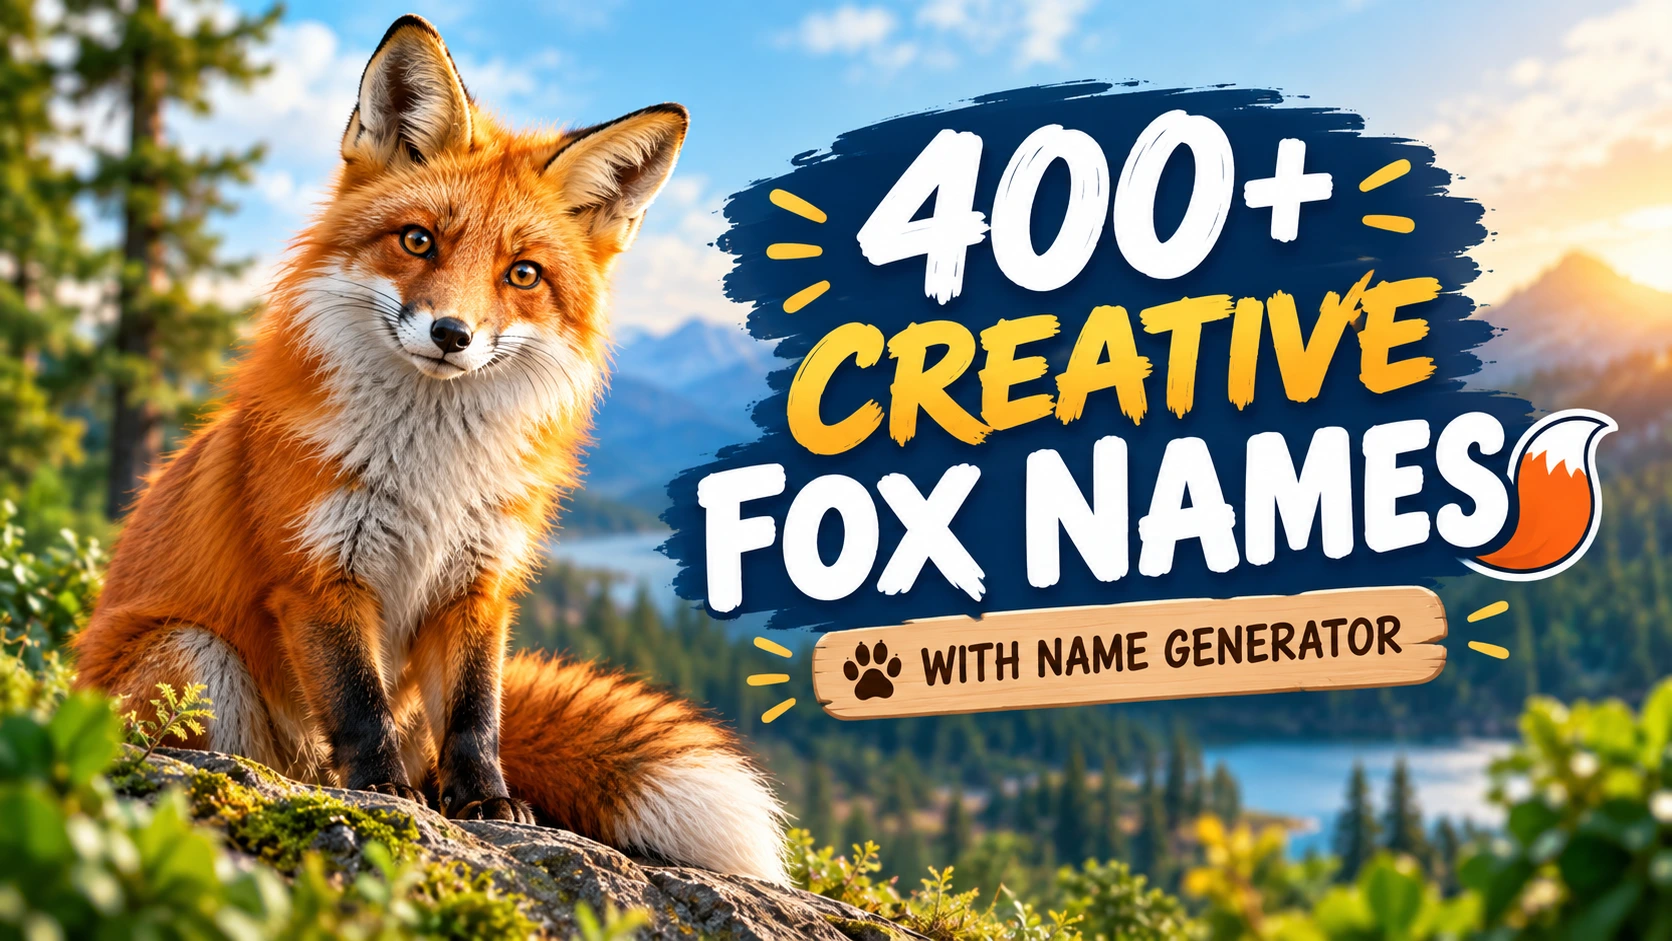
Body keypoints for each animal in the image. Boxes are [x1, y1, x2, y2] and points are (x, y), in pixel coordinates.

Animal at [72, 14, 788, 884]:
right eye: (417, 240)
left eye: (523, 274)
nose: (452, 333)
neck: (430, 474)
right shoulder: (319, 574)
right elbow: (358, 703)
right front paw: (382, 792)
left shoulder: (479, 582)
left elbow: (478, 714)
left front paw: (484, 803)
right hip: (193, 653)